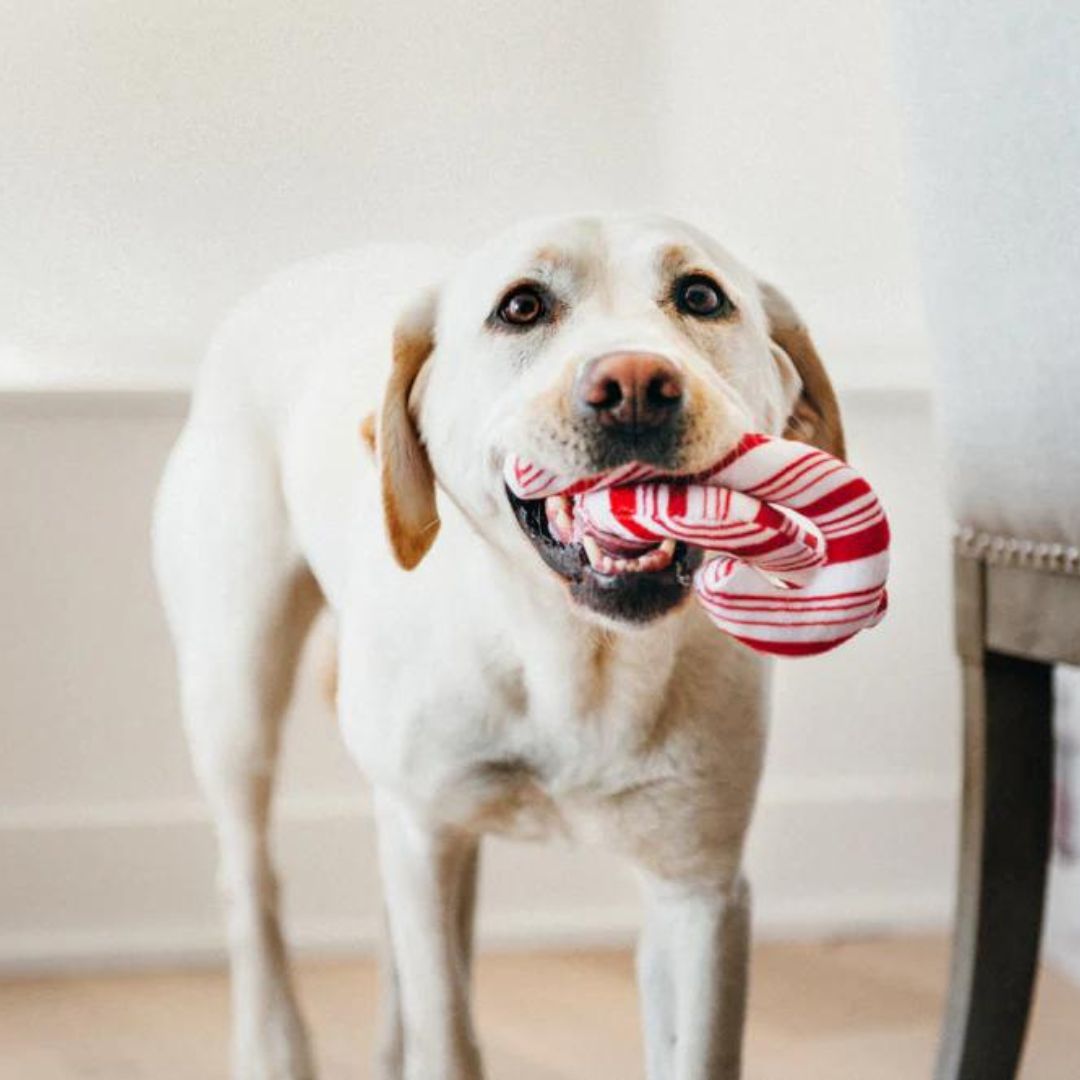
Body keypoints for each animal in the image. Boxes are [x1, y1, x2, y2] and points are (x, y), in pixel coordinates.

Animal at [152, 212, 842, 1080]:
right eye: (521, 307)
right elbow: (447, 1036)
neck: (573, 657)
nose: (636, 386)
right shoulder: (423, 834)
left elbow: (696, 1049)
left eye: (700, 297)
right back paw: (272, 1046)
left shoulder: (701, 891)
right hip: (236, 698)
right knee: (251, 885)